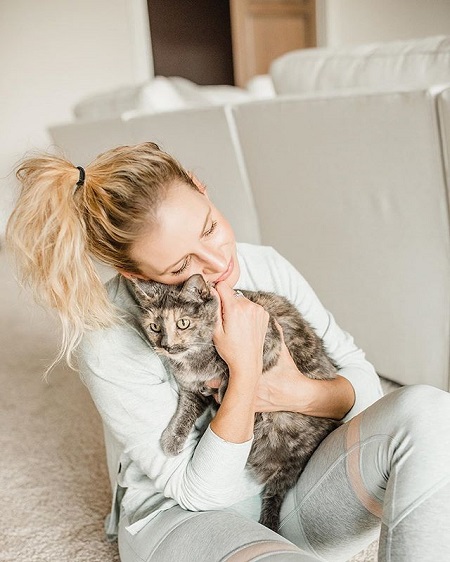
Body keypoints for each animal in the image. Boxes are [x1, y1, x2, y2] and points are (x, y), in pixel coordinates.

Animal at [130, 274, 342, 528]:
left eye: (183, 323)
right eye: (155, 327)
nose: (167, 346)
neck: (195, 361)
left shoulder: (269, 338)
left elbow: (235, 370)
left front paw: (225, 388)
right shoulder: (192, 390)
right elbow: (185, 413)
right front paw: (172, 440)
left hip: (293, 449)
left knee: (276, 490)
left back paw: (268, 521)